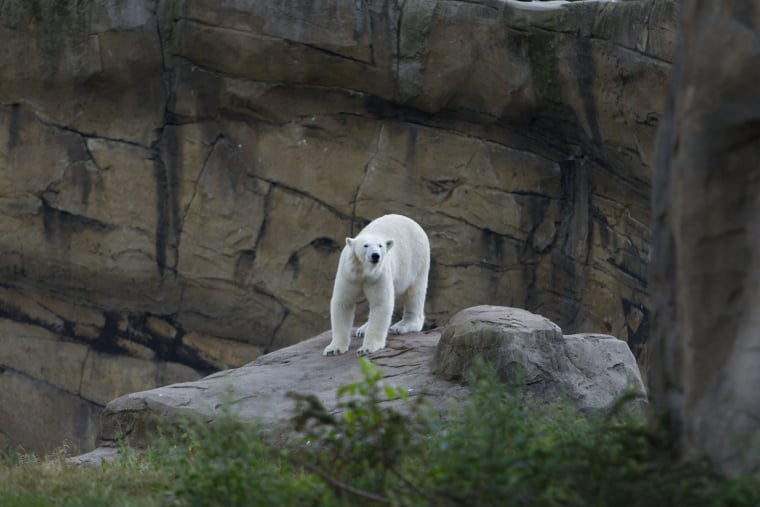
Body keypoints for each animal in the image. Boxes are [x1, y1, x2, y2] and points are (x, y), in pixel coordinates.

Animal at [323, 214, 430, 356]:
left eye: (380, 245)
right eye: (365, 245)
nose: (375, 255)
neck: (364, 271)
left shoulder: (378, 275)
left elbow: (380, 303)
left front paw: (367, 348)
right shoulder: (348, 273)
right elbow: (343, 302)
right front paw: (334, 348)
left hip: (417, 259)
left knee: (414, 292)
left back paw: (402, 325)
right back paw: (362, 329)